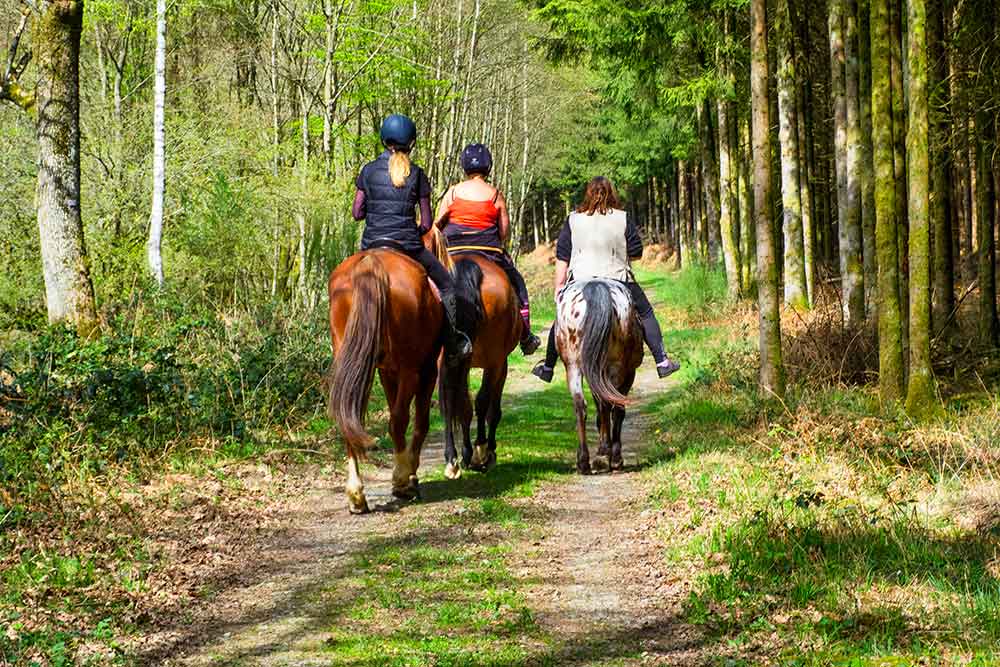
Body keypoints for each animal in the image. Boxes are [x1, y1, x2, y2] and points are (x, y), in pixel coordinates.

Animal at [327, 246, 476, 514]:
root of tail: (370, 263)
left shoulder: (387, 371)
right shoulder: (426, 370)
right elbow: (420, 422)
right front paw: (410, 473)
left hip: (353, 360)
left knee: (348, 417)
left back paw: (356, 494)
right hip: (411, 369)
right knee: (398, 420)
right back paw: (402, 481)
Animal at [437, 252, 522, 479]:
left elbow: (463, 406)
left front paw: (466, 453)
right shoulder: (501, 364)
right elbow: (493, 408)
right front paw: (487, 451)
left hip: (449, 359)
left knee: (451, 402)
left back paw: (453, 458)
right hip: (494, 360)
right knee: (482, 401)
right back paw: (482, 449)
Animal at [555, 279, 643, 474]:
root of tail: (595, 286)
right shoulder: (629, 373)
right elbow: (617, 410)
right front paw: (614, 455)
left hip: (573, 365)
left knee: (580, 405)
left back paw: (584, 461)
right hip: (615, 367)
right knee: (609, 405)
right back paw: (607, 456)